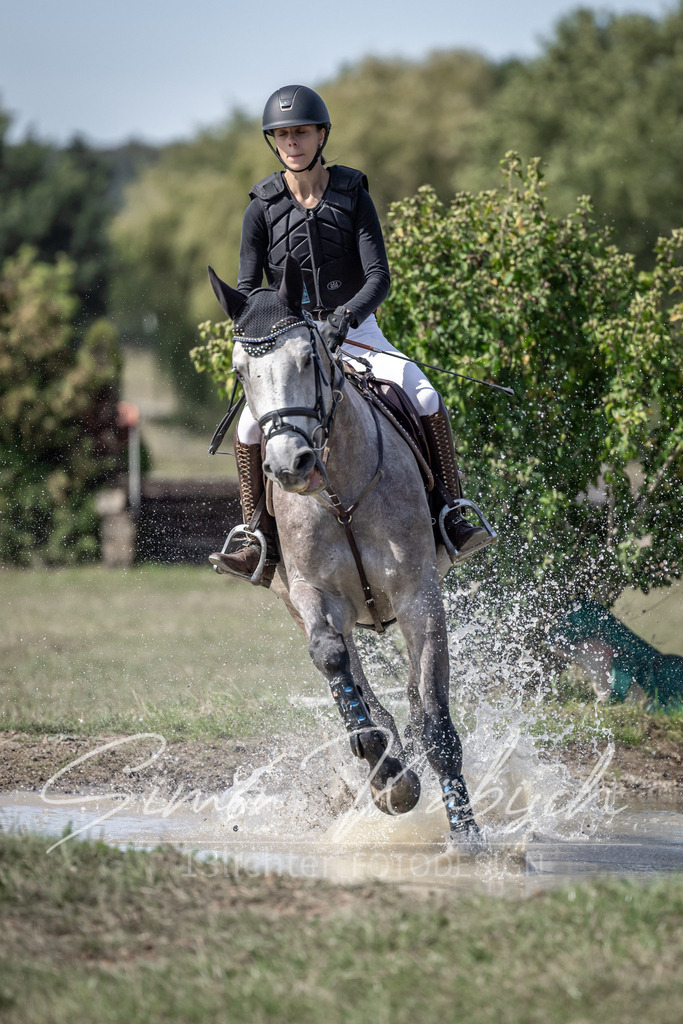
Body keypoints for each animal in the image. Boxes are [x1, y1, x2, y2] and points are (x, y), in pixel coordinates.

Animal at [208, 254, 480, 839]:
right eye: (241, 371)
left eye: (310, 356)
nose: (289, 465)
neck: (338, 494)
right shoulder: (314, 596)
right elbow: (332, 659)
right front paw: (387, 774)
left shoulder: (418, 594)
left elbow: (437, 722)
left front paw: (467, 834)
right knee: (361, 678)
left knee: (417, 699)